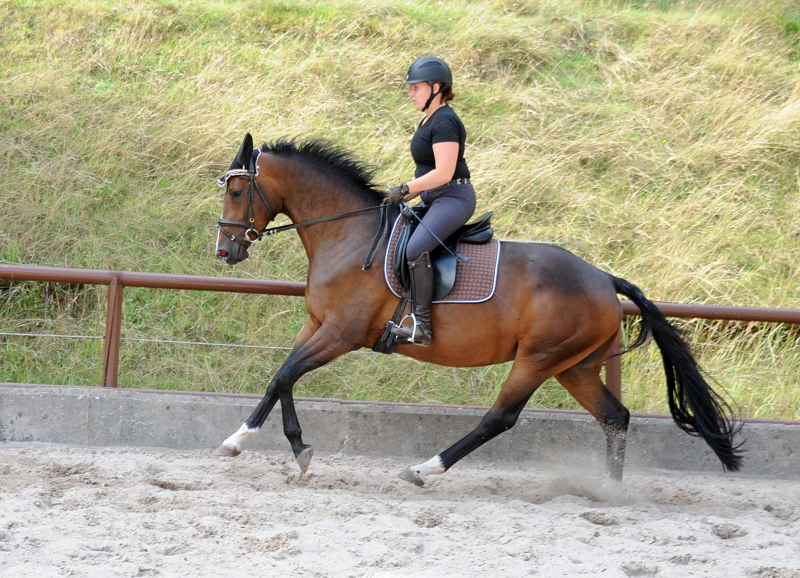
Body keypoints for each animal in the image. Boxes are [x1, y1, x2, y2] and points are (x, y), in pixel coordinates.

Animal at [212, 132, 744, 486]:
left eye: (237, 192)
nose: (224, 251)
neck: (348, 234)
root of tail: (603, 278)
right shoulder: (317, 324)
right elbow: (279, 378)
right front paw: (240, 440)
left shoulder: (341, 333)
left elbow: (286, 375)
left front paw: (297, 449)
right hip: (574, 367)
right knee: (615, 417)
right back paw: (608, 491)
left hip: (539, 359)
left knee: (500, 418)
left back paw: (425, 469)